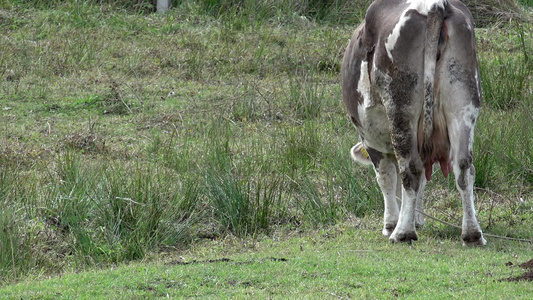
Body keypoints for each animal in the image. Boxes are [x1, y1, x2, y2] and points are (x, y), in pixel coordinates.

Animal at [342, 0, 484, 245]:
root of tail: (434, 5)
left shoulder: (372, 141)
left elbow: (387, 179)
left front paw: (391, 224)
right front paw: (415, 219)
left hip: (401, 110)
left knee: (411, 170)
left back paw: (402, 232)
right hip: (462, 105)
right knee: (464, 168)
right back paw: (472, 233)